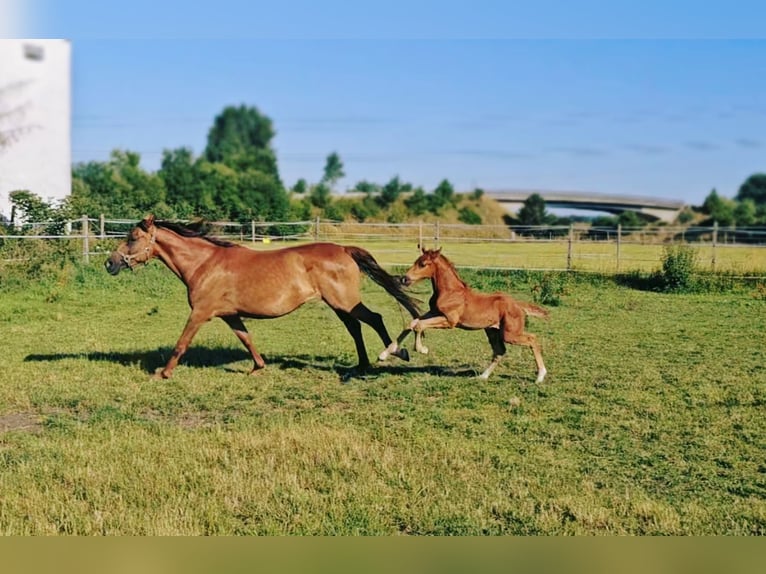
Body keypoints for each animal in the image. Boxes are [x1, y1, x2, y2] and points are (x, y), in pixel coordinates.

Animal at [104, 215, 420, 379]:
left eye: (132, 238)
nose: (110, 263)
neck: (203, 264)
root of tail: (344, 249)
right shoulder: (230, 315)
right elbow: (246, 338)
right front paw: (258, 367)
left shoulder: (201, 313)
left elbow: (181, 343)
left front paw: (163, 373)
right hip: (338, 304)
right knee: (355, 327)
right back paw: (363, 363)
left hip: (344, 301)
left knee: (374, 319)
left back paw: (394, 352)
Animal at [379, 248, 549, 382]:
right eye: (416, 261)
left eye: (423, 264)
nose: (404, 279)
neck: (450, 291)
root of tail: (518, 304)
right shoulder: (433, 312)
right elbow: (412, 323)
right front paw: (385, 354)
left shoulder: (450, 321)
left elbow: (419, 325)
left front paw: (422, 349)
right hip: (493, 331)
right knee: (500, 351)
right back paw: (482, 376)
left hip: (510, 333)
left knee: (532, 339)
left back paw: (540, 376)